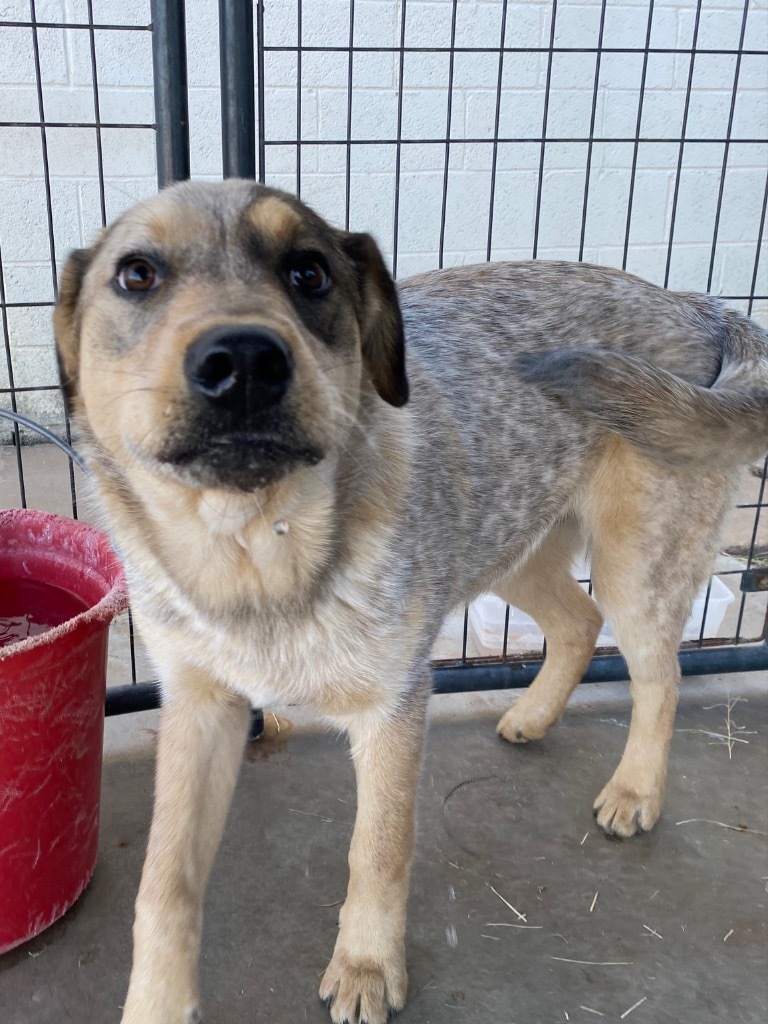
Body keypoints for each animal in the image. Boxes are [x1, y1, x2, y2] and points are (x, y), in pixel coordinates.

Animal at [54, 180, 768, 1024]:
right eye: (137, 275)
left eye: (309, 273)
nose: (245, 363)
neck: (254, 554)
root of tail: (694, 304)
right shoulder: (200, 706)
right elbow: (165, 882)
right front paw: (156, 1004)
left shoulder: (392, 706)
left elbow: (378, 849)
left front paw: (366, 967)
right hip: (507, 541)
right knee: (577, 622)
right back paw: (533, 716)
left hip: (635, 567)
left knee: (660, 678)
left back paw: (634, 791)